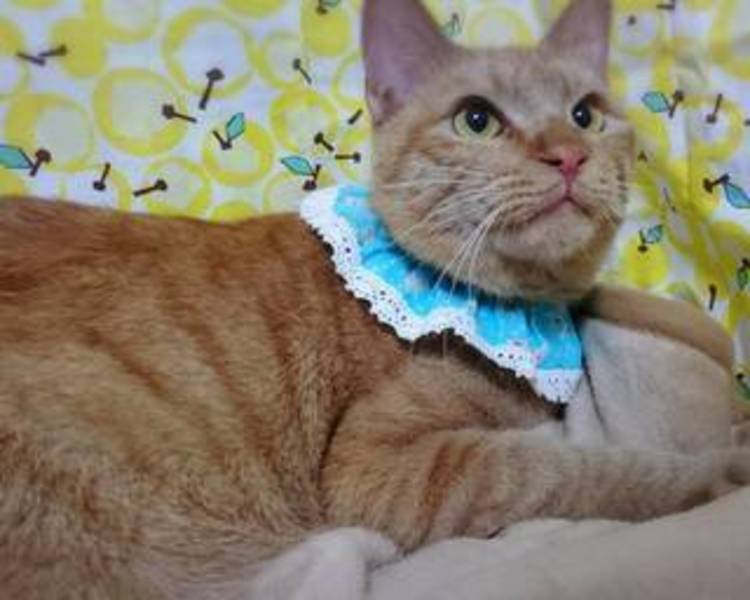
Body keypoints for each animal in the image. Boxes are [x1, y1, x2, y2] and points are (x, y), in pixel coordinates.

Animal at [1, 0, 749, 598]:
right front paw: (713, 472)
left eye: (585, 114)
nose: (568, 154)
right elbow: (571, 471)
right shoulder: (384, 467)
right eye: (477, 119)